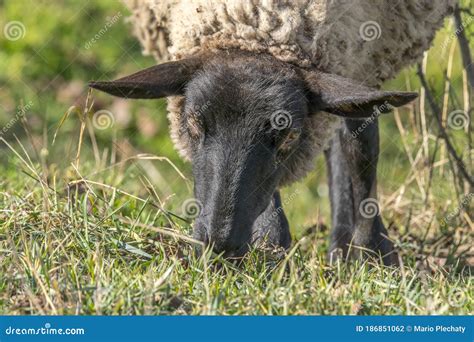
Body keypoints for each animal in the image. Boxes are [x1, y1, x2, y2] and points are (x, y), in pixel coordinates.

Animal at [90, 0, 456, 264]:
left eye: (288, 137)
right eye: (193, 123)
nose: (219, 245)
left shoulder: (364, 52)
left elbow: (362, 148)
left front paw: (372, 254)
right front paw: (270, 248)